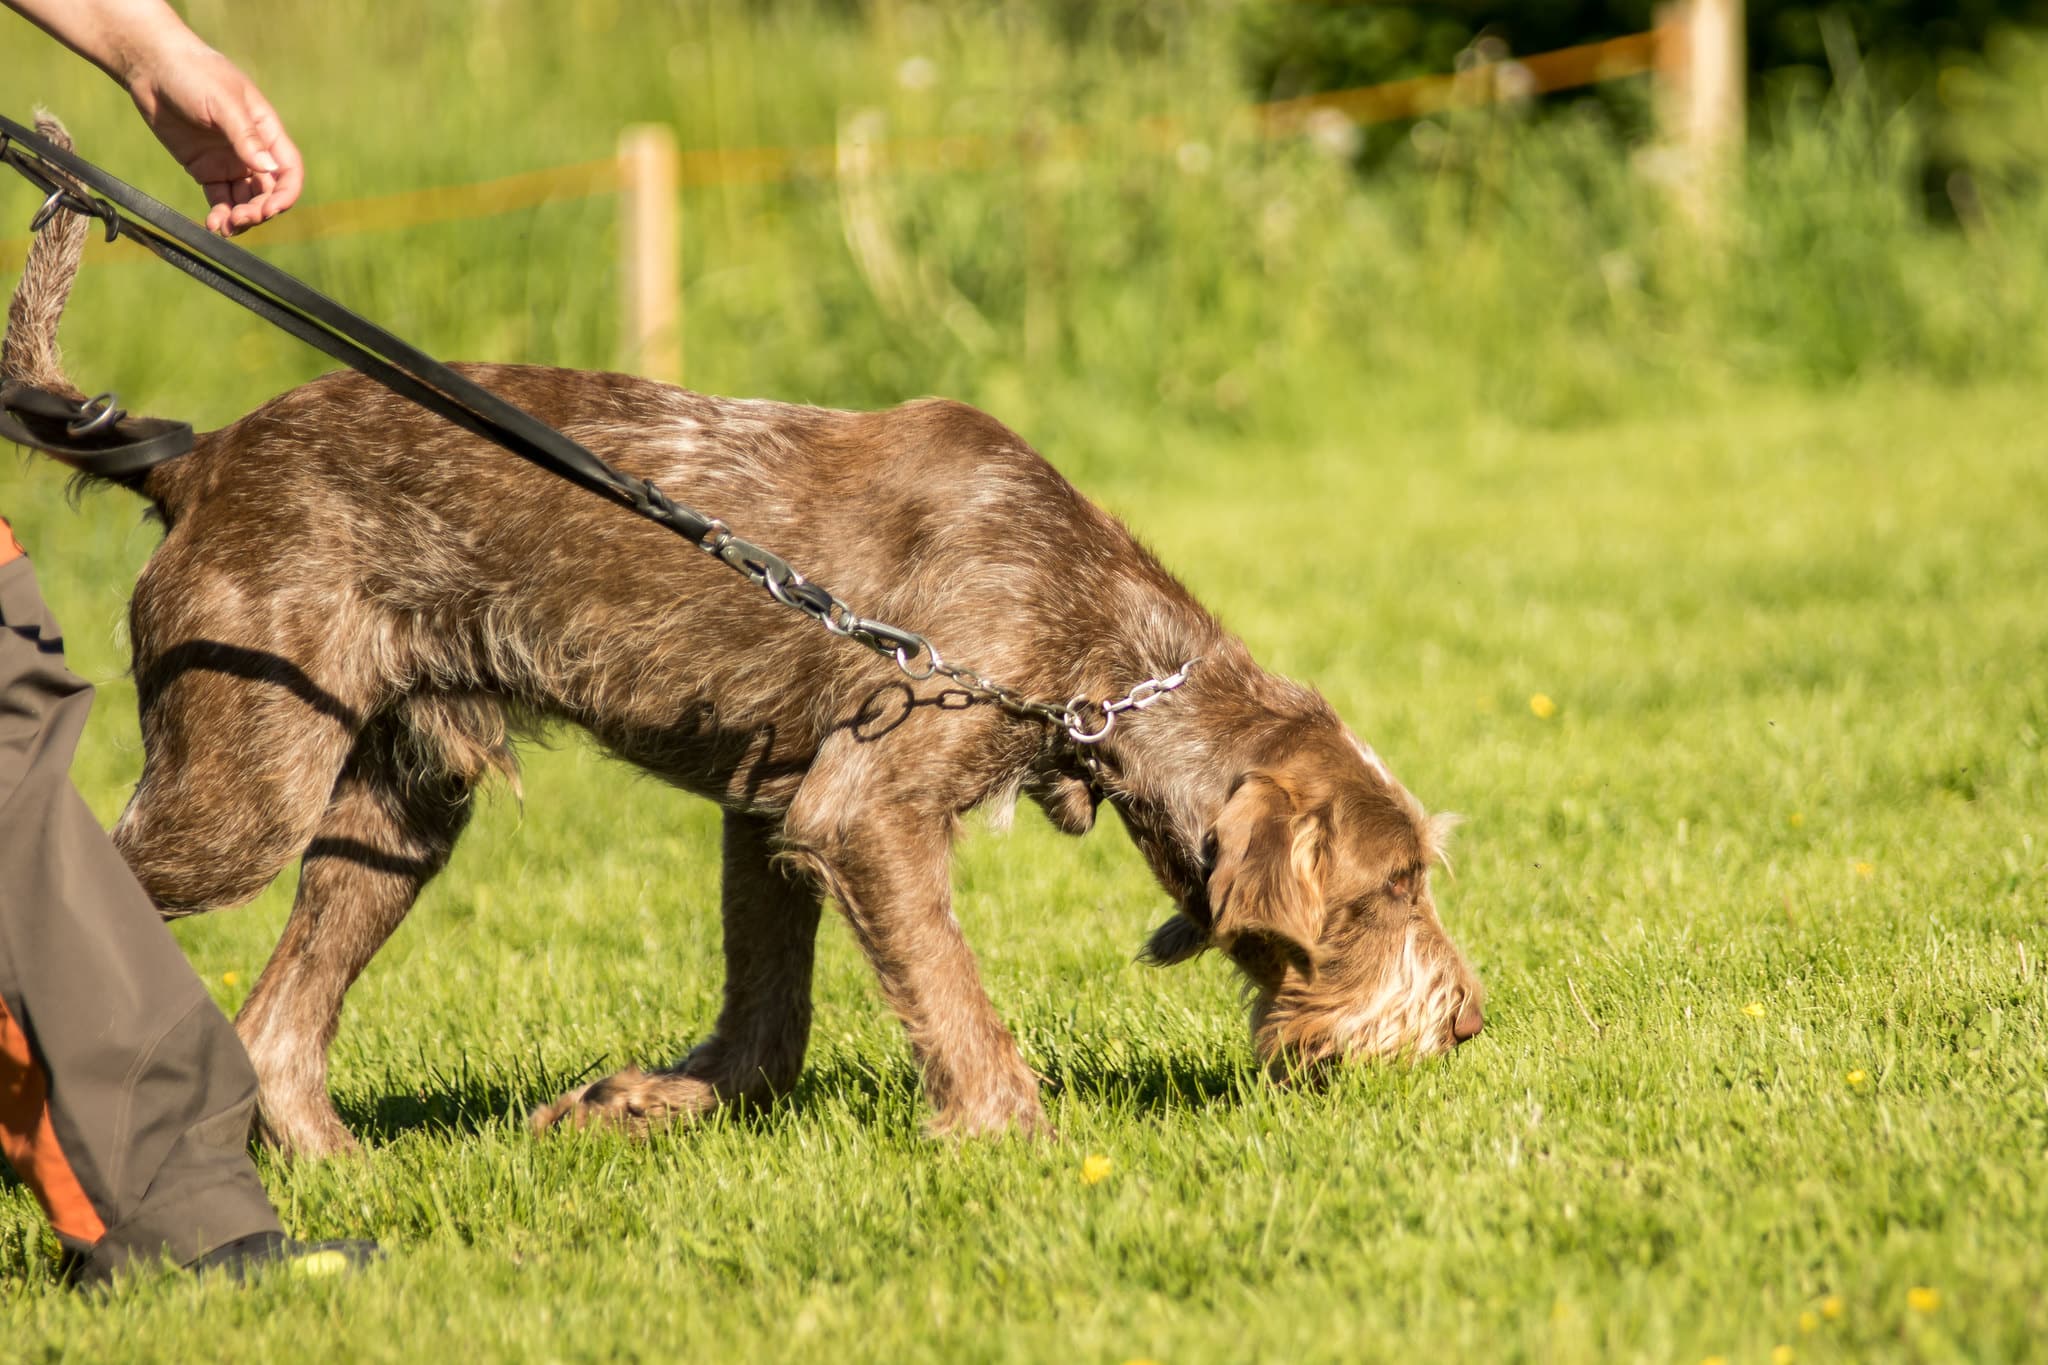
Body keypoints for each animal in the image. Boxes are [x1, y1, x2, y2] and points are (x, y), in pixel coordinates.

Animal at [0, 133, 1474, 1162]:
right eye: (1390, 890)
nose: (1465, 1019)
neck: (1096, 644)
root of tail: (199, 458)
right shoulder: (864, 810)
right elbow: (954, 998)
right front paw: (1021, 1141)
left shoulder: (770, 810)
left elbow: (770, 1022)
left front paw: (631, 1105)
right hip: (239, 793)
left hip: (398, 808)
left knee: (280, 1024)